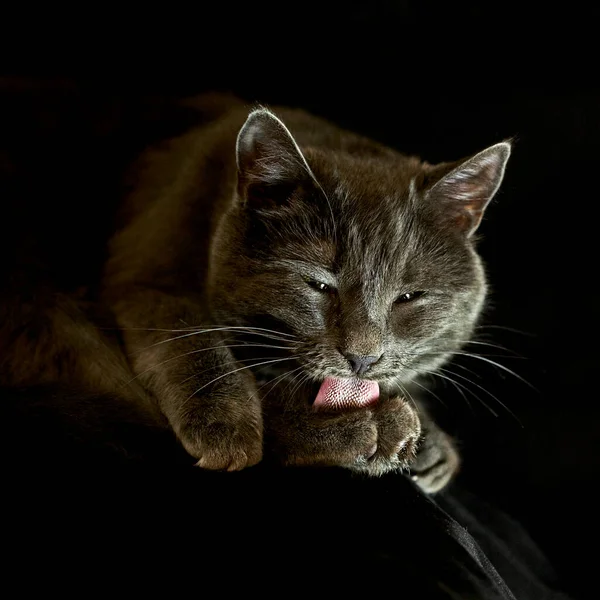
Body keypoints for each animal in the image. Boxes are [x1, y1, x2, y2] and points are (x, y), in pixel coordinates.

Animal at [96, 91, 508, 490]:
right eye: (319, 285)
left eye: (409, 297)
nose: (362, 358)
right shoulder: (146, 274)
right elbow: (190, 336)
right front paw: (227, 423)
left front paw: (429, 441)